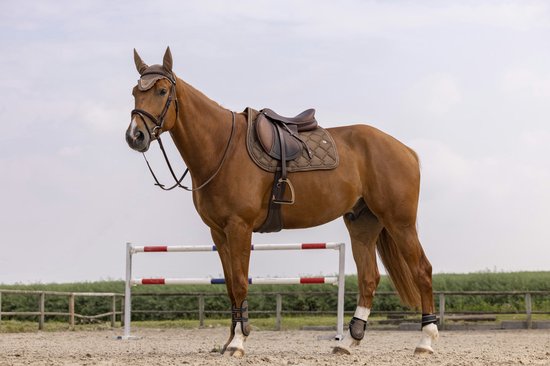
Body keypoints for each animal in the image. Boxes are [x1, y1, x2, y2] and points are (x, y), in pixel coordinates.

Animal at [126, 48, 440, 358]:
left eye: (162, 91)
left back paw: (425, 340)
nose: (135, 135)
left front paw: (239, 342)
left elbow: (239, 282)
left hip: (399, 223)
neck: (221, 148)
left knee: (422, 270)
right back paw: (349, 343)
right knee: (369, 278)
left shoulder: (239, 227)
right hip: (362, 224)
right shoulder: (219, 232)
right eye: (135, 92)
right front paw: (229, 341)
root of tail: (405, 150)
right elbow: (229, 286)